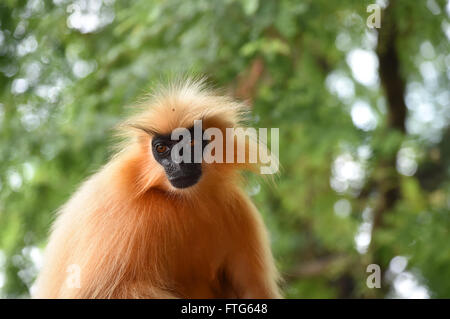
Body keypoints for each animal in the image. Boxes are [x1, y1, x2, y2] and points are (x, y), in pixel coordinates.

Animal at [35, 79, 282, 298]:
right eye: (162, 148)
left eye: (189, 144)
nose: (178, 164)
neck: (182, 200)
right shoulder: (128, 216)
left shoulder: (237, 209)